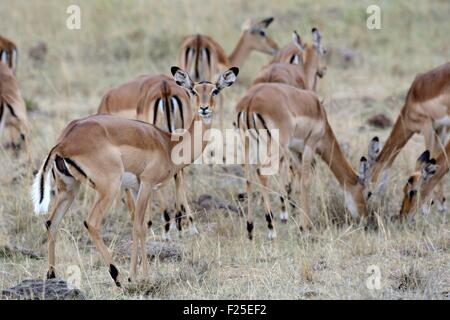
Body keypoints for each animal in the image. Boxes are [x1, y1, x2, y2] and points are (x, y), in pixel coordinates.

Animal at [236, 84, 366, 239]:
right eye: (366, 192)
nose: (364, 218)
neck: (320, 114)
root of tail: (250, 100)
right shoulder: (309, 146)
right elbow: (306, 182)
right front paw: (305, 228)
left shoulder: (294, 150)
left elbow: (298, 179)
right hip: (276, 147)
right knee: (261, 173)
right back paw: (271, 231)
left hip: (248, 144)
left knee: (248, 177)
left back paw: (250, 229)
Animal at [360, 62, 450, 210]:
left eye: (368, 191)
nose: (368, 207)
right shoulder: (440, 129)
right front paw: (441, 202)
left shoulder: (427, 127)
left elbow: (431, 159)